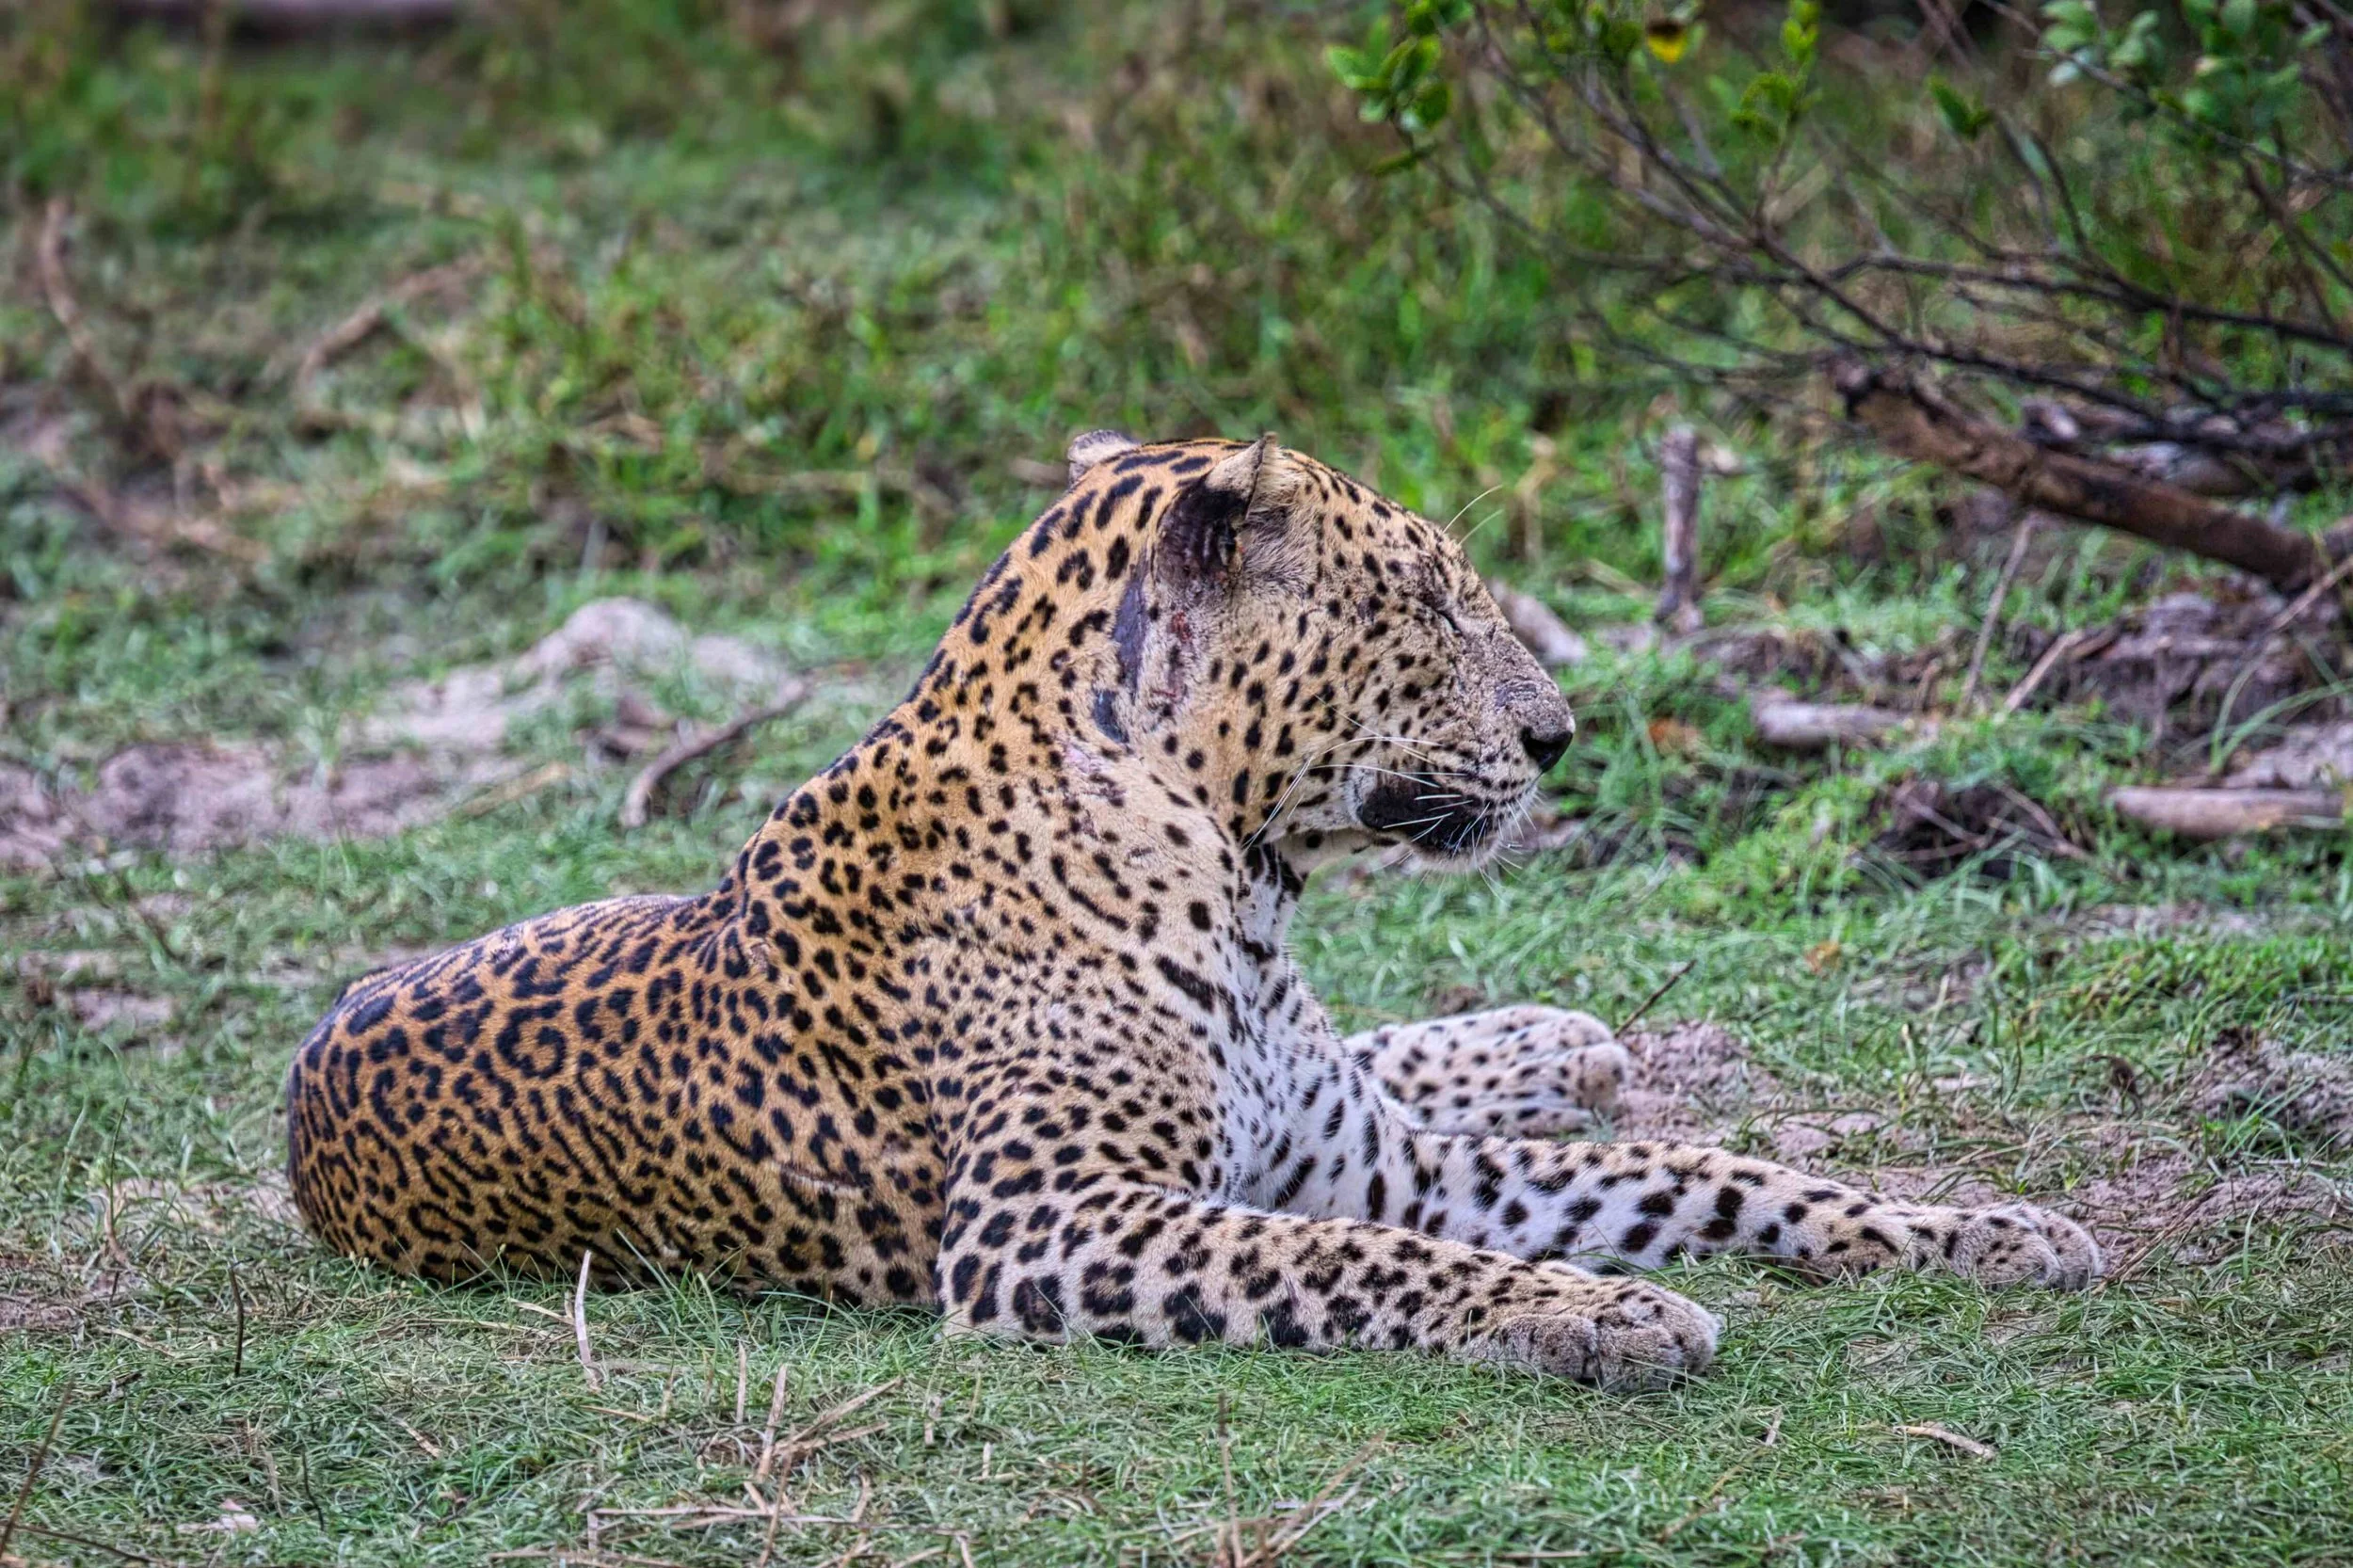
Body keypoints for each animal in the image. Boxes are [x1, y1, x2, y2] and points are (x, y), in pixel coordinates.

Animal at [286, 431, 2099, 1390]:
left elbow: (1709, 1172)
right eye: (1426, 601)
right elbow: (1359, 1261)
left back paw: (1554, 1034)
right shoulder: (1043, 1226)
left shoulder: (1382, 1161)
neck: (1241, 892)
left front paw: (1991, 1230)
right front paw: (1602, 1314)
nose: (1560, 735)